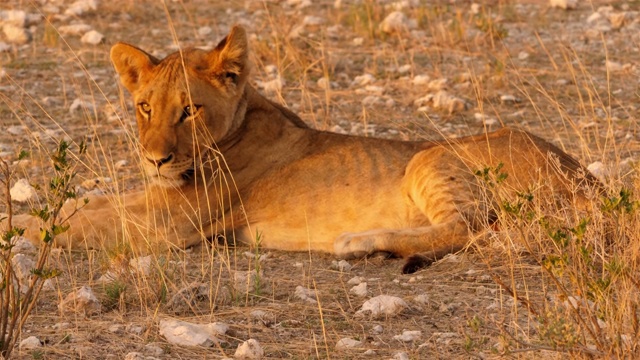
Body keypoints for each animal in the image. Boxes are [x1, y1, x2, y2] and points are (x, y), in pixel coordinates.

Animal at [11, 25, 600, 272]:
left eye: (190, 110)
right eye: (145, 108)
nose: (155, 159)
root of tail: (589, 181)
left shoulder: (167, 224)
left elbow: (73, 223)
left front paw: (11, 228)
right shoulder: (153, 199)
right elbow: (82, 206)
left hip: (429, 158)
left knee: (472, 227)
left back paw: (360, 243)